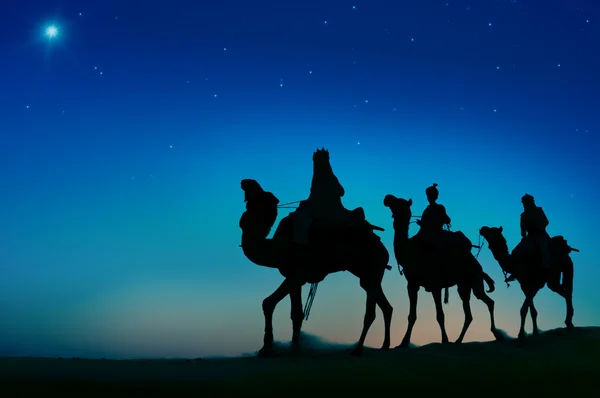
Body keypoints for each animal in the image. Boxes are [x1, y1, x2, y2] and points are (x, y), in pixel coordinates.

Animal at [239, 179, 394, 356]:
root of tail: (383, 248)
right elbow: (296, 313)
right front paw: (295, 348)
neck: (277, 247)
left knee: (370, 313)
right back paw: (385, 345)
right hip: (369, 275)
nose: (245, 182)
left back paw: (358, 349)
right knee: (385, 306)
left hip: (372, 268)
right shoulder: (295, 277)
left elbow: (268, 302)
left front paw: (266, 347)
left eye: (264, 195)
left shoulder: (297, 274)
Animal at [384, 194, 502, 346]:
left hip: (474, 279)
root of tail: (478, 266)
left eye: (398, 202)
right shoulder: (412, 284)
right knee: (469, 314)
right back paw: (458, 340)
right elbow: (412, 315)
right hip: (463, 285)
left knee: (488, 301)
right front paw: (403, 342)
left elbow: (440, 315)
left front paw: (445, 340)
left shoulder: (436, 285)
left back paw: (495, 333)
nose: (387, 197)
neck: (410, 252)